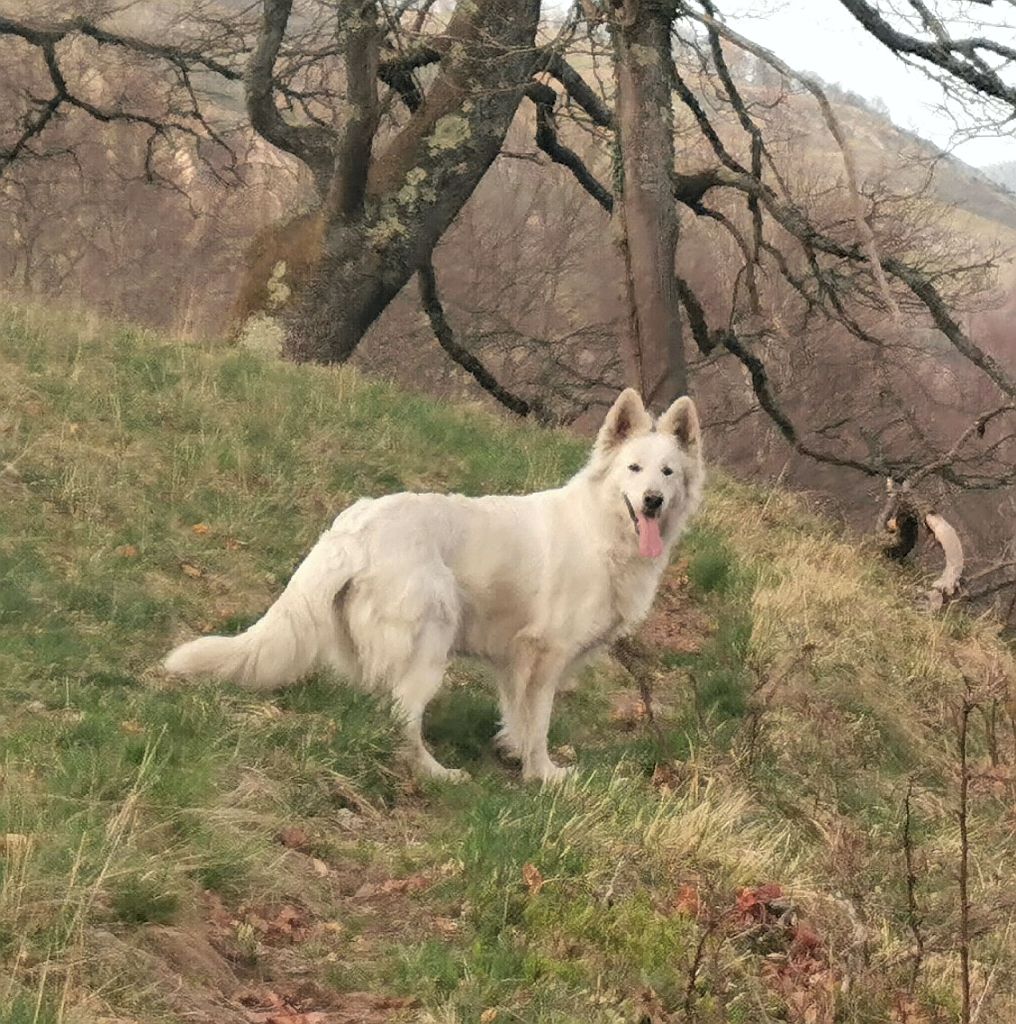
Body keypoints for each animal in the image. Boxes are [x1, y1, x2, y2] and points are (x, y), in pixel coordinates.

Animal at [168, 389, 704, 782]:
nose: (653, 500)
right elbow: (539, 723)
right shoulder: (544, 655)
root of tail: (355, 529)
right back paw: (436, 773)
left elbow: (517, 715)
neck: (603, 528)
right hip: (431, 640)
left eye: (668, 472)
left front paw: (513, 753)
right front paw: (543, 775)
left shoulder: (515, 659)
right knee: (402, 717)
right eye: (633, 469)